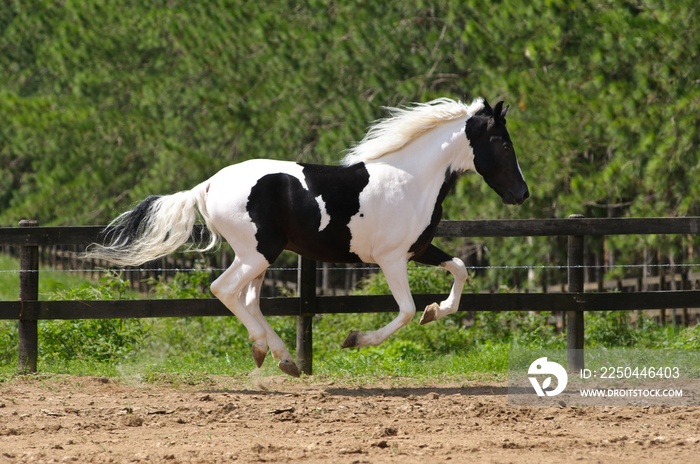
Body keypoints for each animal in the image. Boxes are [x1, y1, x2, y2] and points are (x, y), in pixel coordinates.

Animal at [86, 98, 524, 376]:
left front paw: (437, 310)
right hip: (257, 253)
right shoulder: (392, 259)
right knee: (224, 290)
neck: (412, 180)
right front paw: (354, 340)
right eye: (503, 144)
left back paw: (282, 359)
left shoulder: (419, 249)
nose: (522, 194)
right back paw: (267, 351)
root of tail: (207, 185)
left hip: (261, 257)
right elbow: (404, 311)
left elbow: (460, 269)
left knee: (248, 299)